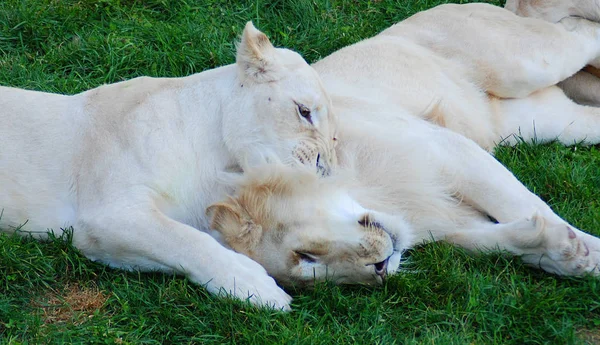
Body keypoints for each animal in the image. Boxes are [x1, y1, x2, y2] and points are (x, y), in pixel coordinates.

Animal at [0, 22, 338, 310]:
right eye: (304, 111)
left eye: (334, 136)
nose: (326, 172)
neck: (216, 155)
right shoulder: (103, 215)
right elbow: (184, 240)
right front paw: (255, 285)